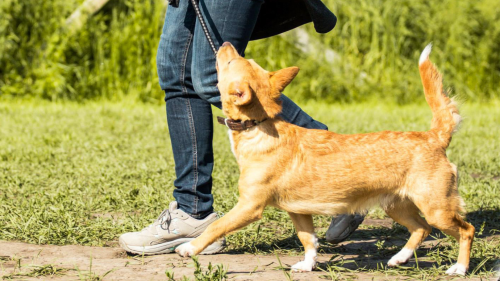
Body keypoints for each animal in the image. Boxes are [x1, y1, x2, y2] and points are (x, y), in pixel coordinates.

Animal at [175, 42, 472, 274]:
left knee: (465, 230)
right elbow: (308, 239)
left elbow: (216, 227)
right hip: (397, 206)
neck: (259, 126)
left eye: (229, 62)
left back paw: (459, 268)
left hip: (437, 208)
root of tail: (433, 136)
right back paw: (399, 258)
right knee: (421, 229)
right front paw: (308, 265)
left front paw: (189, 247)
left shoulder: (249, 206)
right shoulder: (298, 210)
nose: (225, 42)